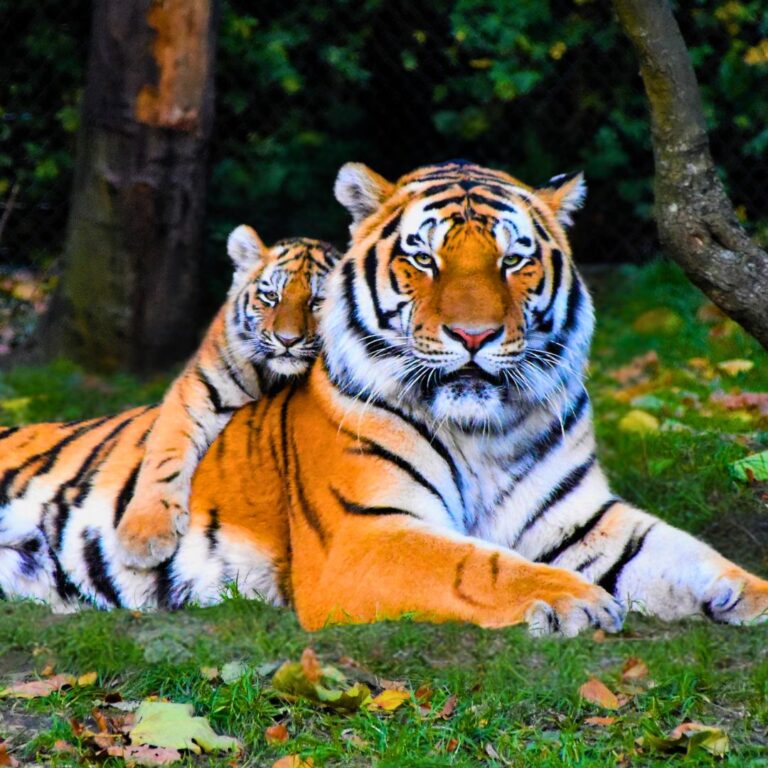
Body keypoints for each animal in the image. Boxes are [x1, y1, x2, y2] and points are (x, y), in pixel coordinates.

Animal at [113, 225, 339, 568]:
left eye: (317, 301)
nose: (287, 340)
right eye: (271, 296)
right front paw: (144, 536)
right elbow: (165, 456)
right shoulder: (195, 392)